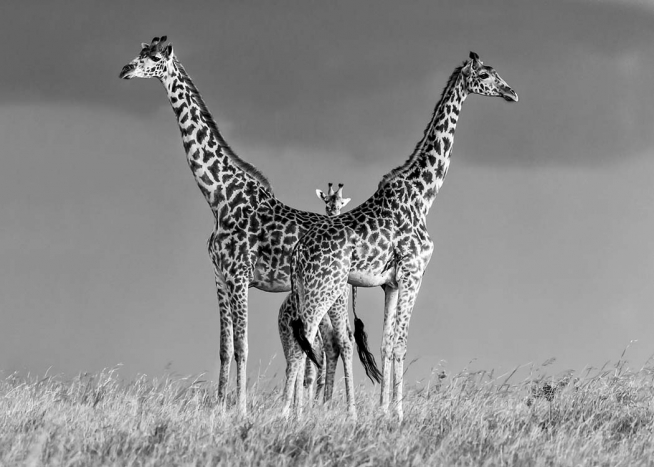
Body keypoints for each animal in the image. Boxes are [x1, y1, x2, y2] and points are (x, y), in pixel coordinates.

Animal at [119, 36, 380, 416]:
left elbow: (243, 346)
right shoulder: (219, 277)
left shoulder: (240, 275)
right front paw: (219, 406)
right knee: (333, 343)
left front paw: (240, 408)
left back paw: (345, 411)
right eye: (139, 53)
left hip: (333, 293)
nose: (124, 70)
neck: (220, 197)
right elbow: (225, 348)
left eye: (153, 58)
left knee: (343, 342)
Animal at [286, 52, 518, 420]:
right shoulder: (413, 272)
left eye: (496, 73)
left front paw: (383, 411)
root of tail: (297, 253)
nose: (512, 93)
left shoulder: (390, 283)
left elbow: (385, 344)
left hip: (311, 290)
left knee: (305, 342)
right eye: (485, 75)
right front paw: (398, 414)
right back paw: (289, 414)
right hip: (323, 288)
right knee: (303, 342)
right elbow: (401, 343)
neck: (424, 195)